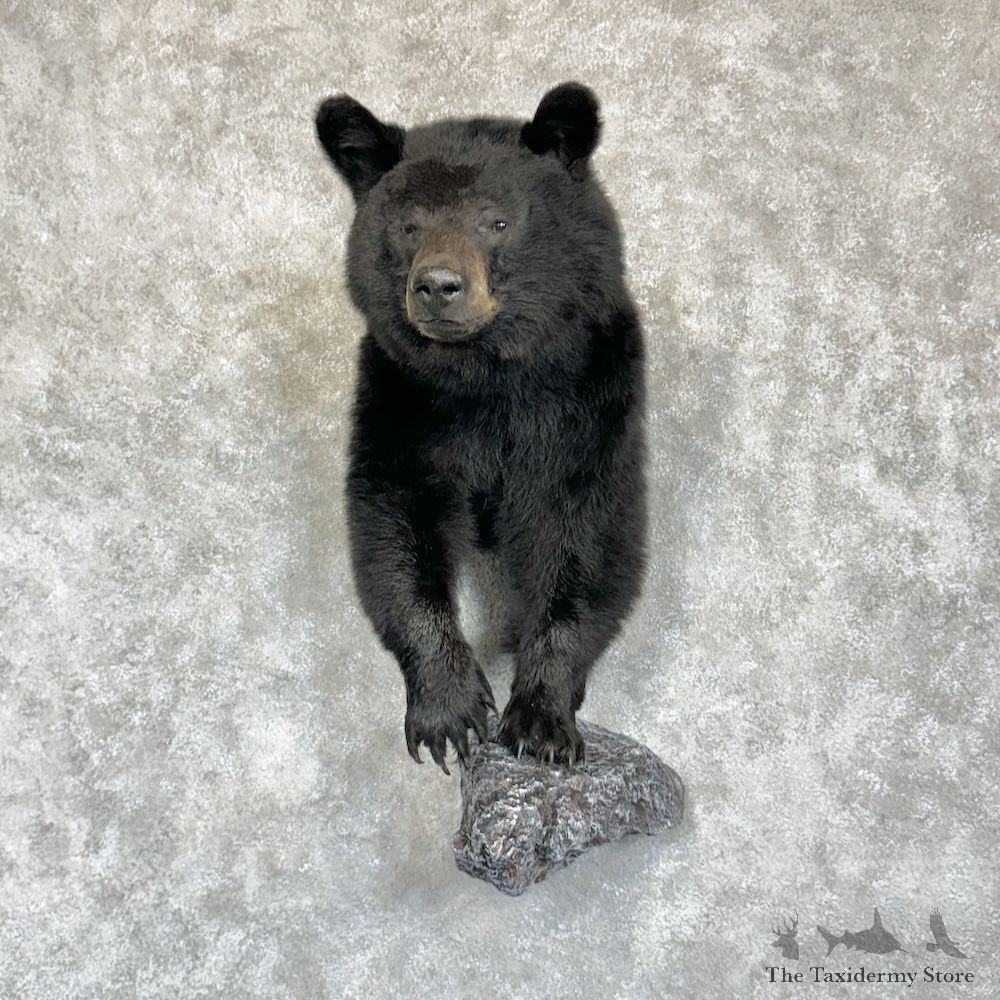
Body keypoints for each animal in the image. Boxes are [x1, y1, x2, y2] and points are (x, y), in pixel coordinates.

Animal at [314, 83, 646, 771]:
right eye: (407, 225)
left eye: (497, 221)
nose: (438, 286)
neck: (486, 377)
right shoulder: (401, 397)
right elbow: (395, 523)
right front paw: (449, 710)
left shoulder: (590, 398)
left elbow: (588, 533)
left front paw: (542, 719)